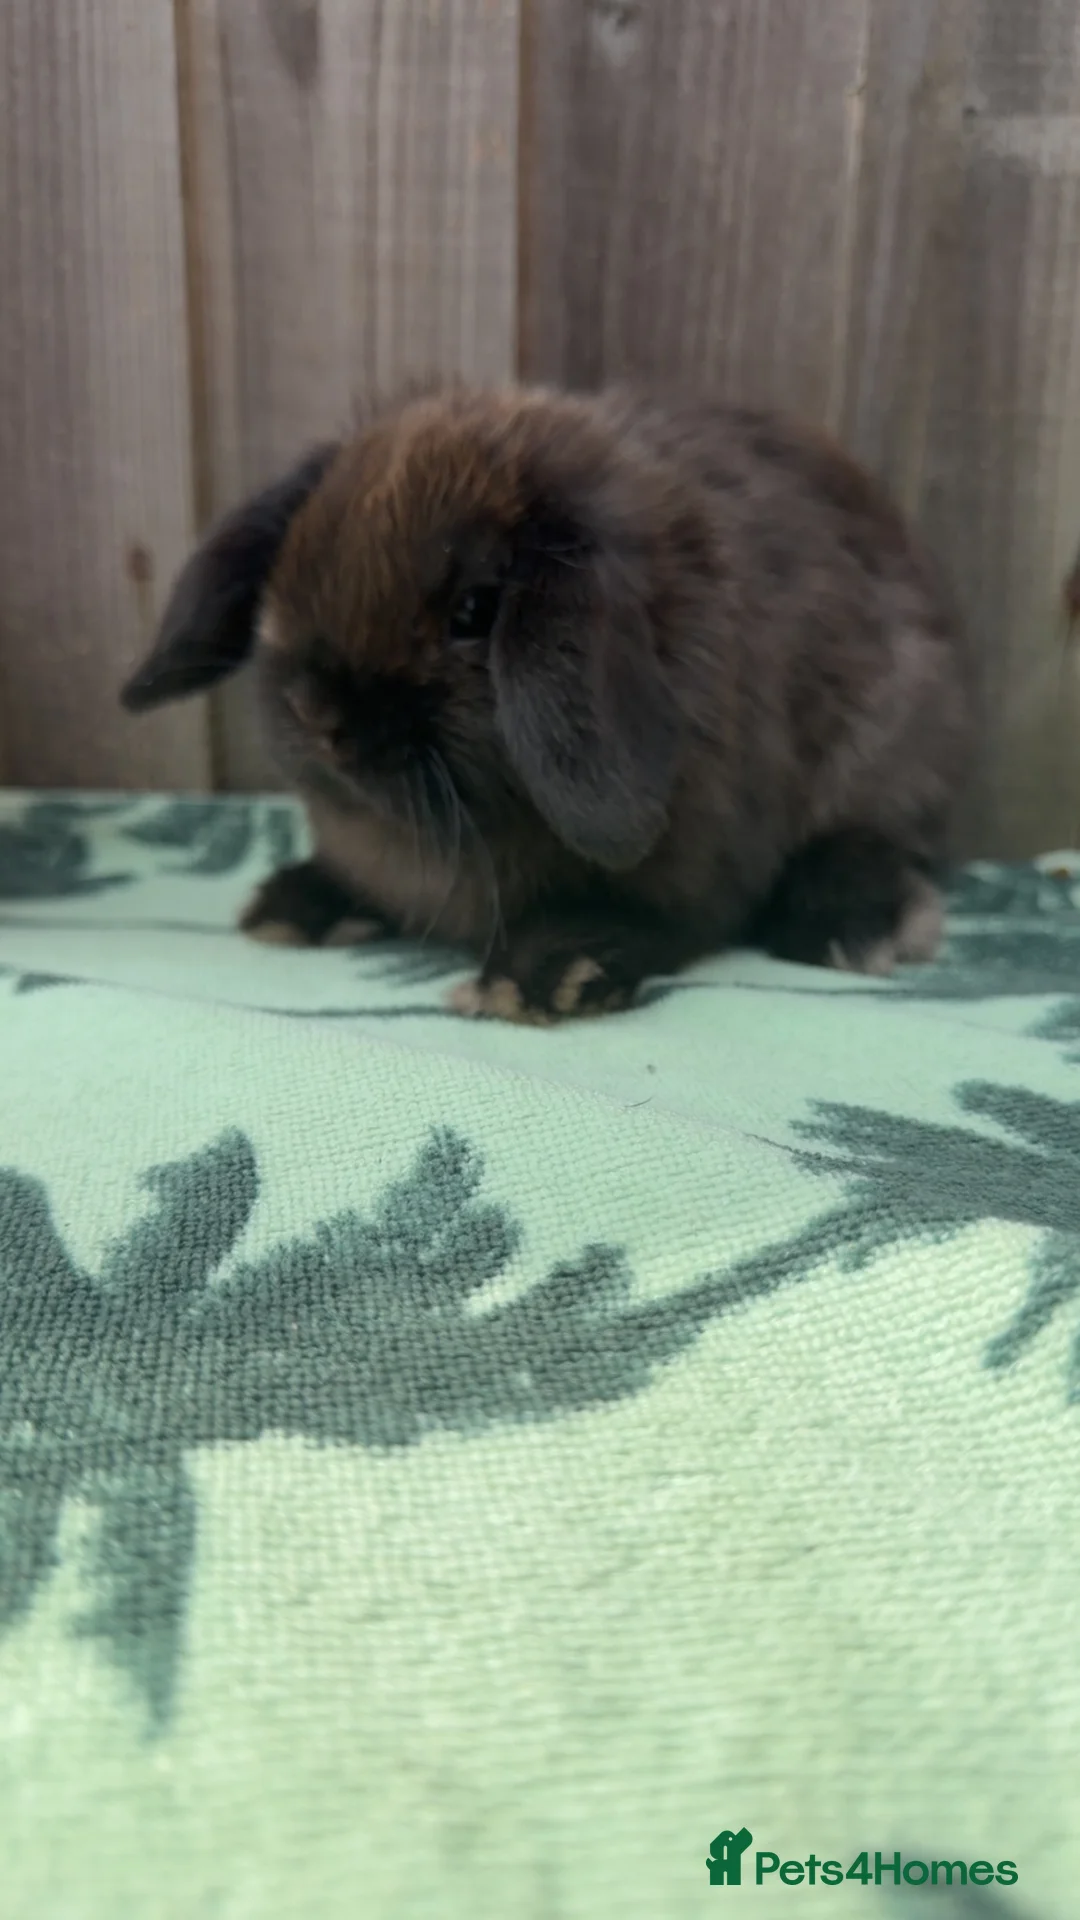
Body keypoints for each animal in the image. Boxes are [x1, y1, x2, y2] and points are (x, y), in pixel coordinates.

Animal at [120, 380, 973, 1023]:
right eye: (296, 573)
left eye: (474, 611)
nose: (319, 715)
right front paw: (295, 904)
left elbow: (663, 922)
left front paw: (541, 973)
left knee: (869, 844)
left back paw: (851, 930)